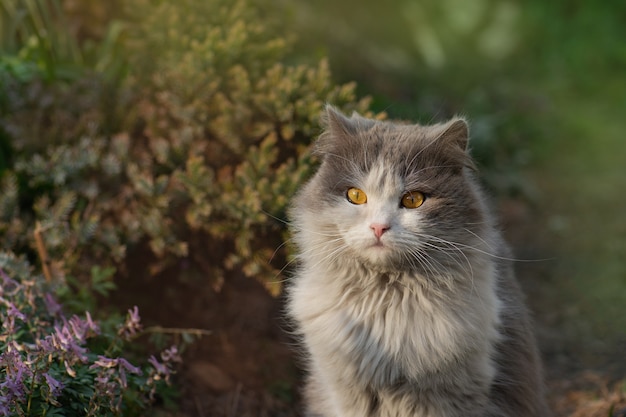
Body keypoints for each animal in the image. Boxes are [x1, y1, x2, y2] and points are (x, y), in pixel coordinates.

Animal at [286, 106, 548, 416]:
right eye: (356, 196)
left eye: (413, 200)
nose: (379, 227)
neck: (385, 307)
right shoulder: (345, 390)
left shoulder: (450, 395)